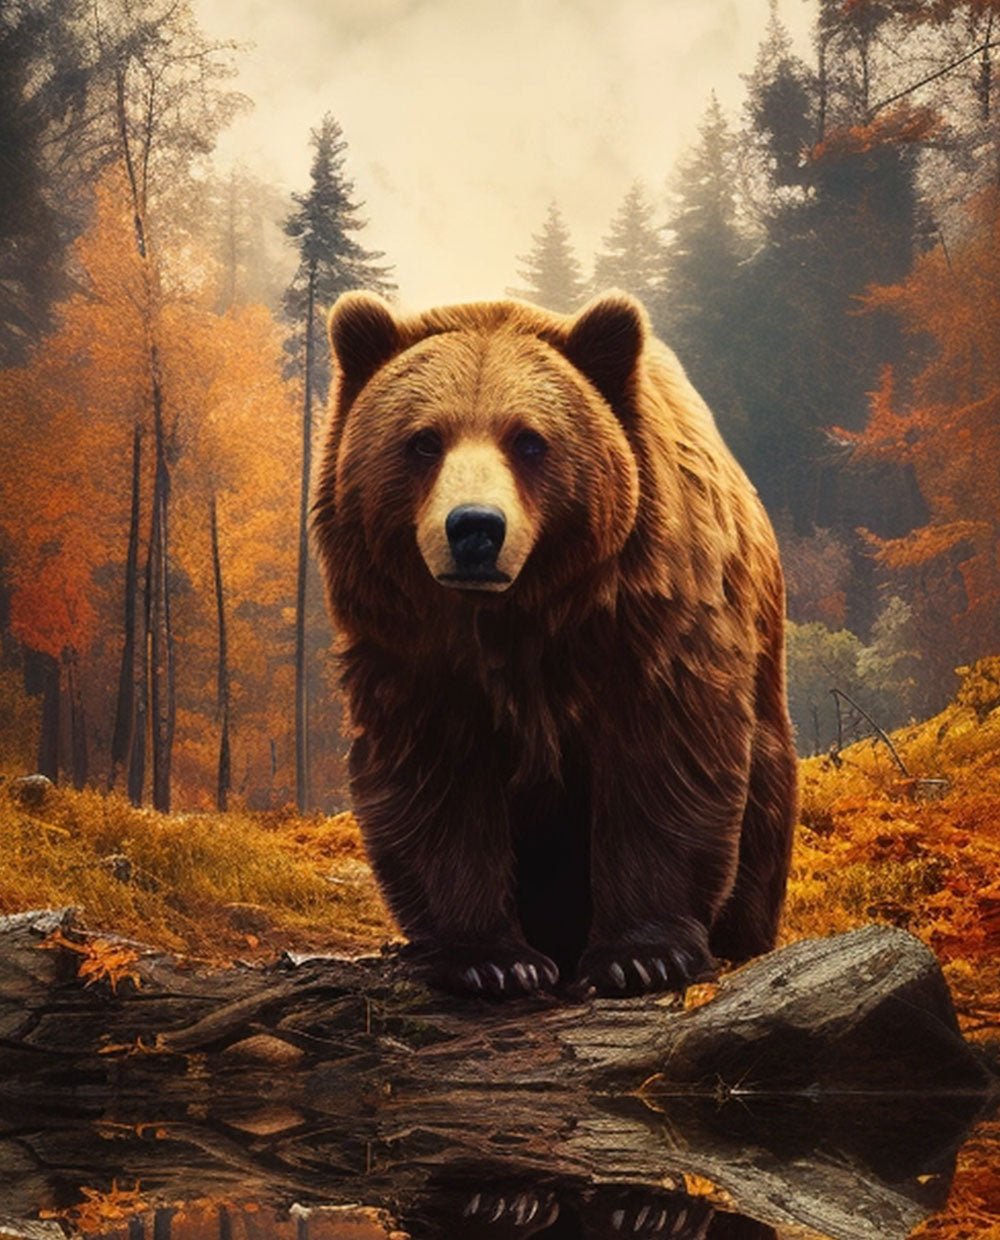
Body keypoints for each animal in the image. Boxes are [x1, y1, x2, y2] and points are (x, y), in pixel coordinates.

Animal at [313, 289, 797, 998]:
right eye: (424, 441)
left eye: (529, 440)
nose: (475, 528)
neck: (519, 614)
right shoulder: (417, 653)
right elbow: (441, 782)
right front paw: (492, 960)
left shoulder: (649, 625)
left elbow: (660, 759)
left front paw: (641, 956)